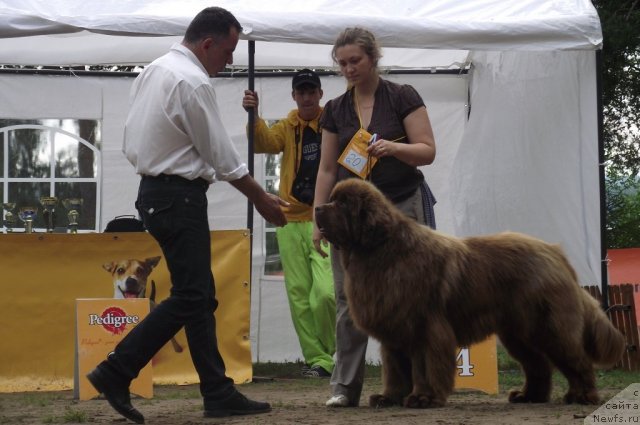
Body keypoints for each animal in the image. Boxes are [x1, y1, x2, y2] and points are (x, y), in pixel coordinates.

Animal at [316, 178, 624, 408]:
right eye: (332, 199)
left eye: (343, 203)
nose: (318, 208)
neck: (381, 252)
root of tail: (554, 251)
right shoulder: (394, 330)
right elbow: (395, 370)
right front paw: (389, 398)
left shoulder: (424, 328)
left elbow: (423, 366)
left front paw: (424, 397)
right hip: (519, 332)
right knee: (538, 364)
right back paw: (529, 396)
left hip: (547, 325)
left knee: (576, 359)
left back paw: (581, 395)